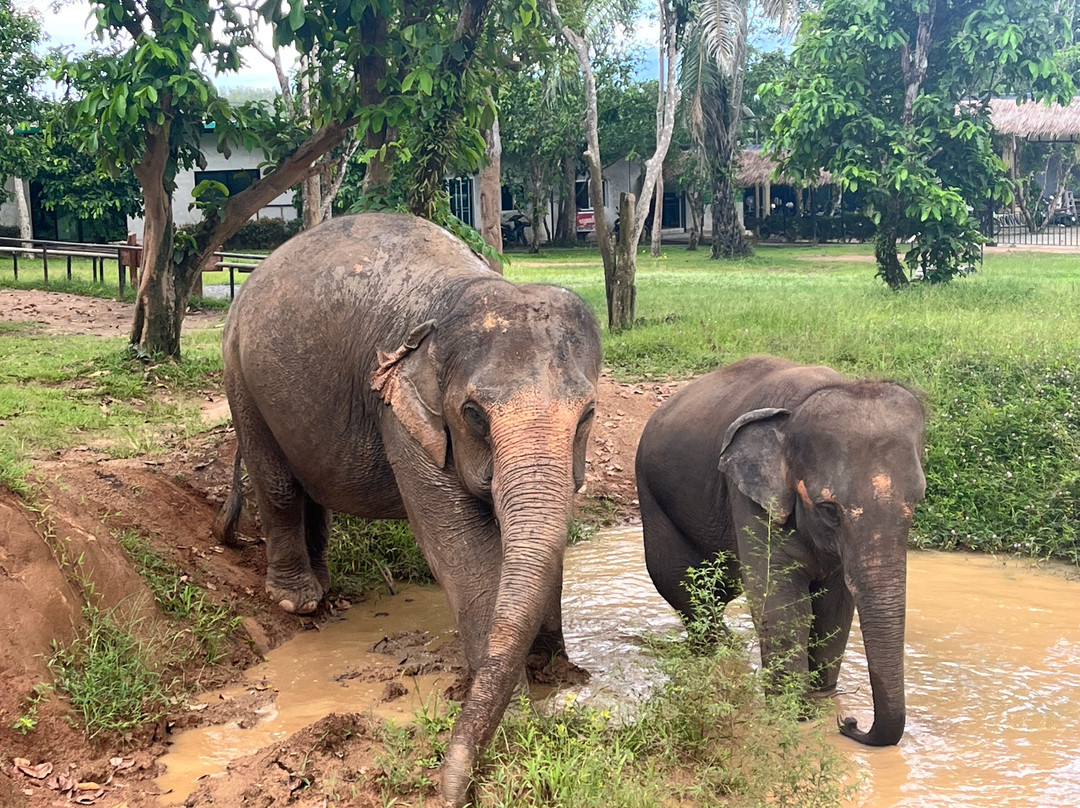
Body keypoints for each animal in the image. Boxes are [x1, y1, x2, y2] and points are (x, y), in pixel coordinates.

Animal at [212, 212, 602, 805]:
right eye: (473, 414)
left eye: (588, 414)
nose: (451, 790)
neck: (462, 292)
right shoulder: (402, 413)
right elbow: (462, 553)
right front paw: (517, 717)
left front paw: (554, 674)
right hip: (240, 373)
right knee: (277, 480)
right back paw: (297, 601)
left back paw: (321, 586)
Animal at [635, 355, 925, 746]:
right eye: (829, 509)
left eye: (916, 504)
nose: (850, 723)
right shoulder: (748, 494)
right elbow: (781, 599)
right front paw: (794, 712)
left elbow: (835, 603)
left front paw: (821, 699)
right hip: (651, 491)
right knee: (680, 581)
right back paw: (720, 648)